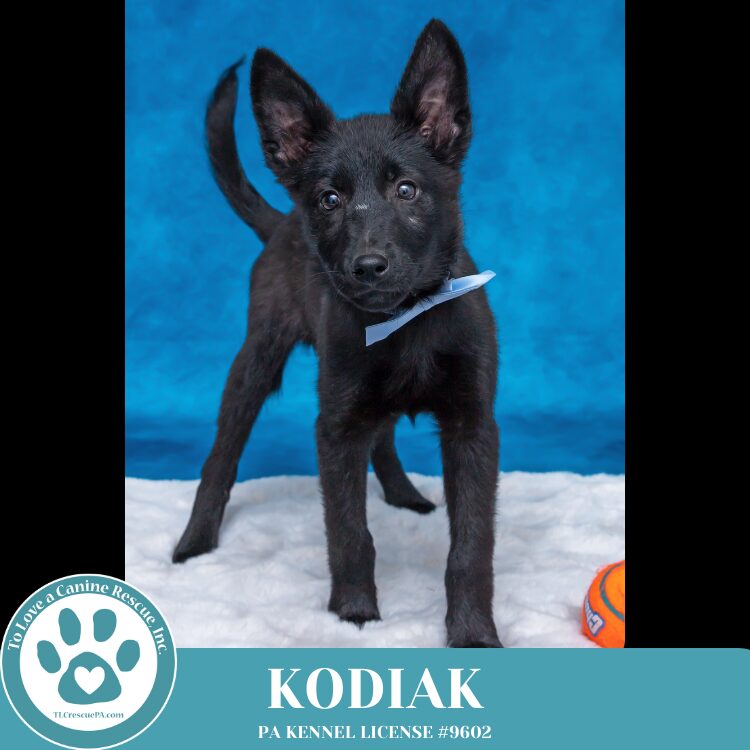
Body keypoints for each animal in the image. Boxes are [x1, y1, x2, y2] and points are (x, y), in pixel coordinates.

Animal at [173, 19, 502, 648]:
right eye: (329, 199)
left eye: (407, 190)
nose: (368, 266)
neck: (407, 319)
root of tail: (282, 222)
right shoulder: (337, 426)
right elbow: (350, 531)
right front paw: (355, 614)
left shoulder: (473, 427)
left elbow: (471, 546)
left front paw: (473, 633)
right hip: (257, 358)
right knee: (221, 457)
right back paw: (195, 541)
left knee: (385, 436)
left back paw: (404, 493)